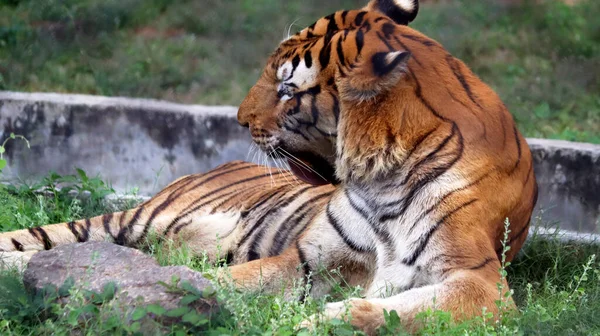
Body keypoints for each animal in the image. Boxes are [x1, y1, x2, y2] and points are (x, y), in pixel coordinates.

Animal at [0, 0, 540, 332]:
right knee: (55, 244)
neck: (382, 173)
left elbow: (400, 311)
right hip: (134, 220)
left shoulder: (480, 281)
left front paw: (320, 324)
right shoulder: (309, 258)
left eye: (286, 90)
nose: (238, 119)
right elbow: (229, 280)